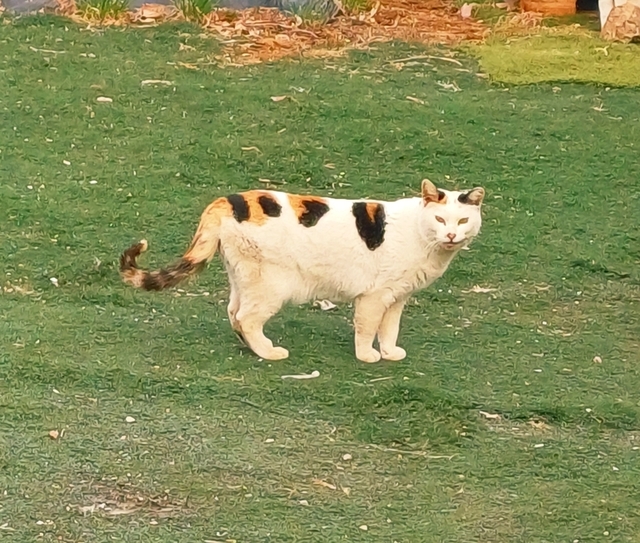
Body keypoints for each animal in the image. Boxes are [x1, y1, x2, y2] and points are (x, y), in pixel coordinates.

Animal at [120, 179, 485, 363]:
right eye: (440, 219)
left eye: (462, 221)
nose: (451, 235)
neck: (423, 237)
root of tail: (226, 201)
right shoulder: (374, 296)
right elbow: (368, 328)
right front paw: (368, 356)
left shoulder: (396, 298)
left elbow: (389, 329)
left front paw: (390, 352)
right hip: (271, 286)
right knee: (247, 317)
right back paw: (269, 352)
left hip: (244, 277)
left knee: (234, 311)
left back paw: (251, 346)